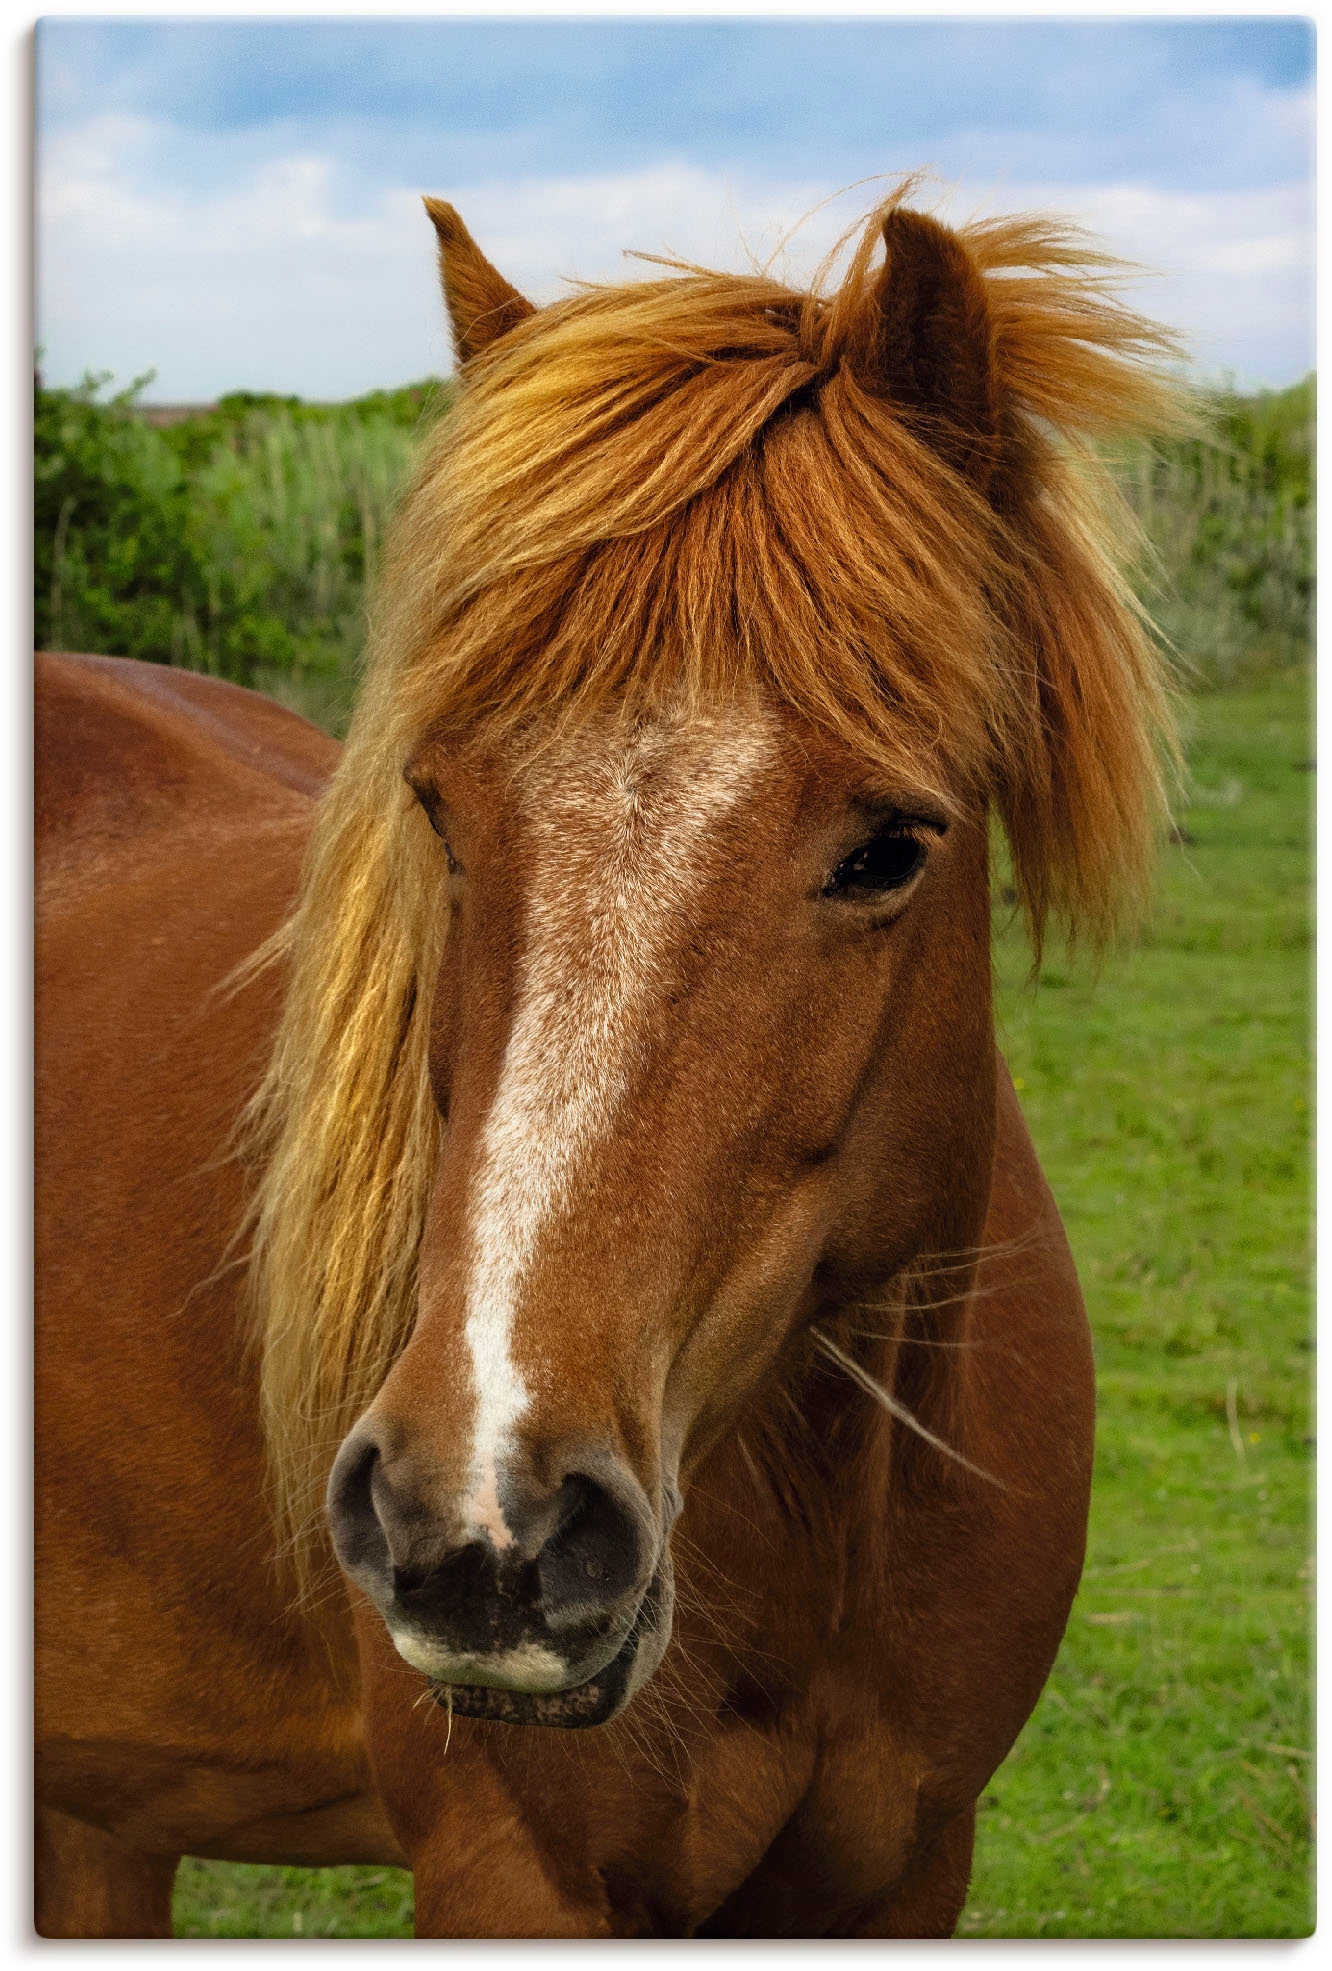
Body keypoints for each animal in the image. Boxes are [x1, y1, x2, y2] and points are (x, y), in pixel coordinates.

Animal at [36, 188, 1190, 1939]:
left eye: (890, 847)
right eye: (439, 811)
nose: (481, 1528)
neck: (824, 1523)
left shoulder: (914, 1862)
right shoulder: (518, 1871)